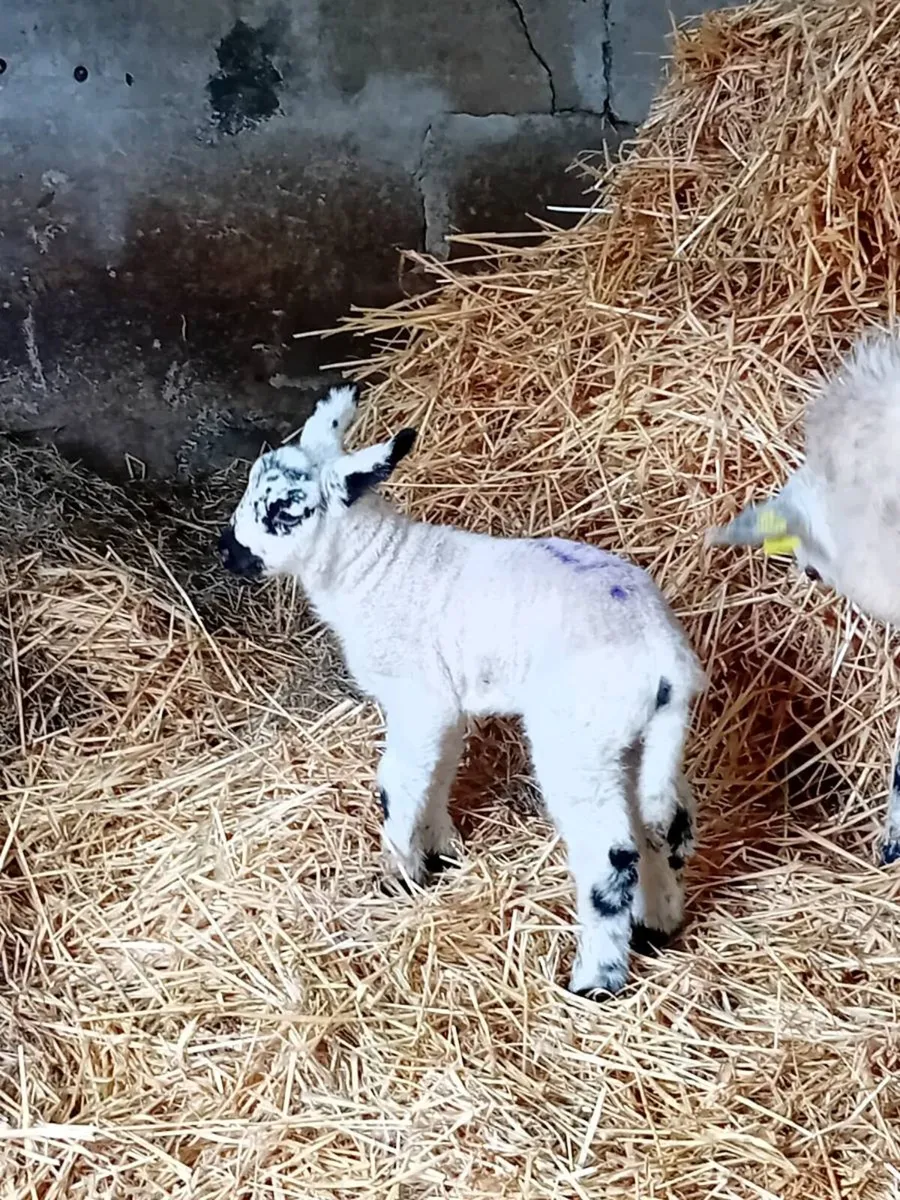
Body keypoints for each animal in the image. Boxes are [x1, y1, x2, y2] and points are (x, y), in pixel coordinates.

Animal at [219, 384, 705, 997]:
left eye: (283, 510)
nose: (226, 551)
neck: (372, 568)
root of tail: (666, 658)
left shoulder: (416, 699)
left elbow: (397, 784)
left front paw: (400, 873)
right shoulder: (442, 707)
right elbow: (438, 772)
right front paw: (439, 850)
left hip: (577, 741)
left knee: (612, 854)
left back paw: (594, 980)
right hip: (636, 738)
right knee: (666, 826)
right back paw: (657, 927)